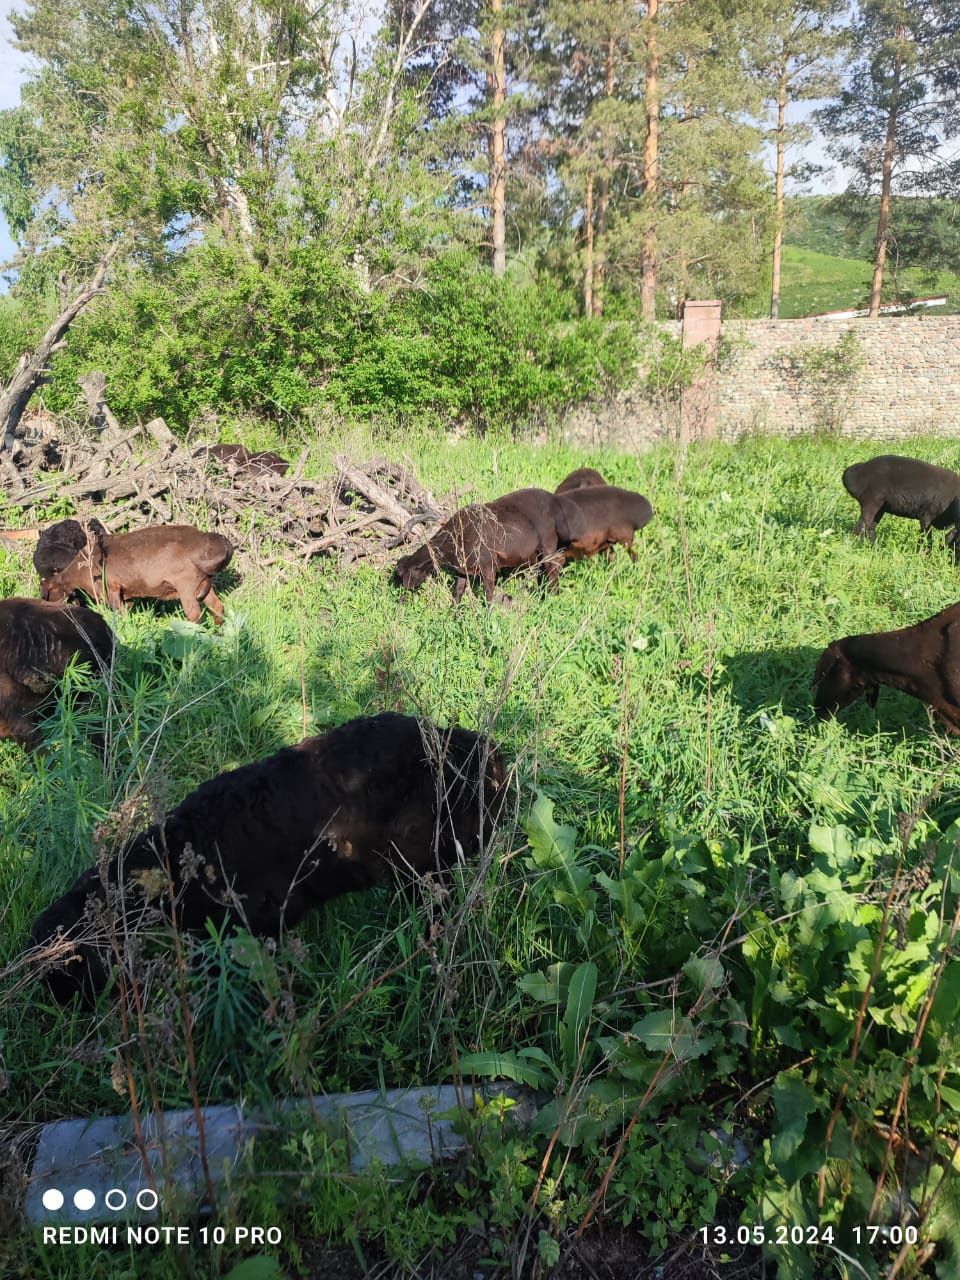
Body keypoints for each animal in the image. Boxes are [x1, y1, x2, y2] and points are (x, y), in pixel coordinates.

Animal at [36, 514, 235, 624]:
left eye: (48, 593)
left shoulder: (112, 587)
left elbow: (119, 612)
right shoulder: (127, 592)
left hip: (187, 585)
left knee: (194, 615)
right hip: (204, 584)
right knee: (218, 607)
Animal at [391, 486, 568, 601]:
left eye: (404, 574)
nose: (401, 599)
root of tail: (554, 500)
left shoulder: (488, 565)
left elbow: (489, 596)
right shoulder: (463, 570)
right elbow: (458, 593)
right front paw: (453, 618)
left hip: (547, 545)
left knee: (553, 570)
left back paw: (553, 600)